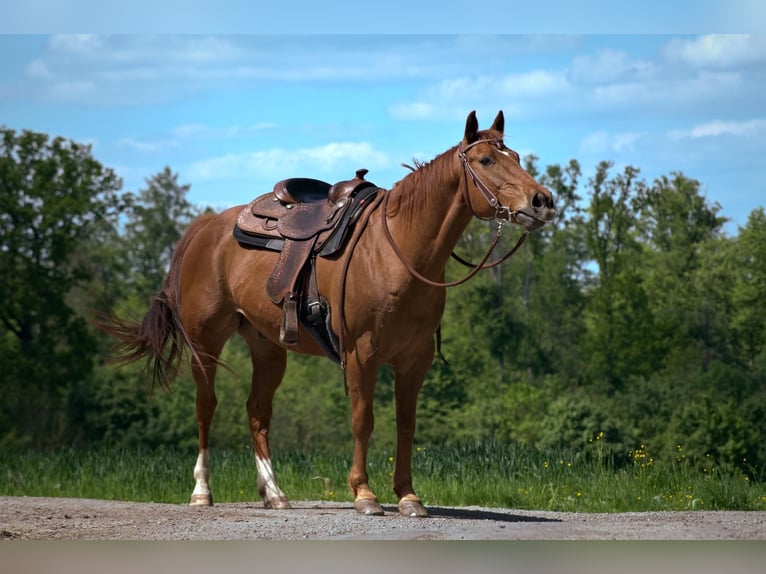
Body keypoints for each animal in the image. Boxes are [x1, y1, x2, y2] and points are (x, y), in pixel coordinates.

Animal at [102, 110, 560, 520]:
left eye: (516, 156)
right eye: (485, 160)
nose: (543, 201)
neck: (398, 250)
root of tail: (206, 226)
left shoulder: (415, 361)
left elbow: (406, 426)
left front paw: (408, 497)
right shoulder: (361, 355)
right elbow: (363, 420)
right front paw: (365, 495)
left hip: (267, 347)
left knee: (257, 413)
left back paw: (274, 494)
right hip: (206, 342)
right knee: (206, 407)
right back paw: (202, 493)